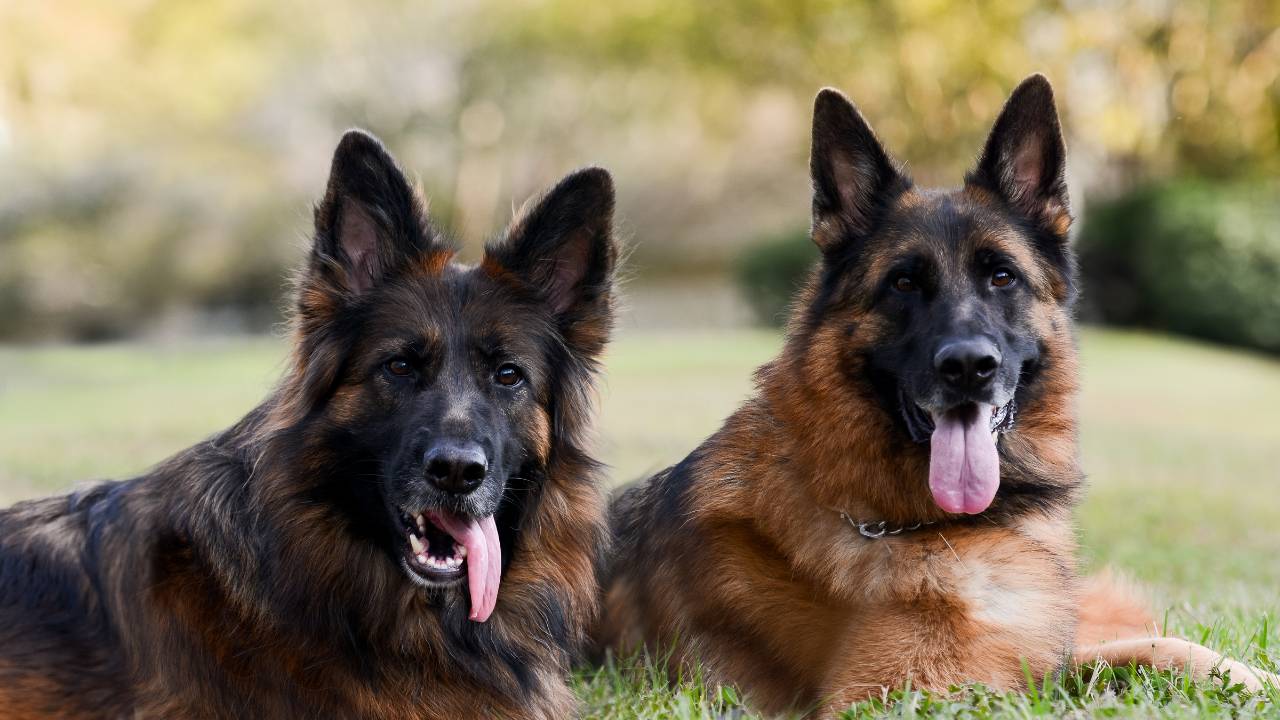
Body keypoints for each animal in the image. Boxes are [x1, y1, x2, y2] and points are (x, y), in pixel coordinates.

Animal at [593, 74, 1274, 712]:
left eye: (1002, 276)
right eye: (902, 283)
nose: (969, 367)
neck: (907, 522)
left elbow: (1158, 647)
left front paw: (1248, 676)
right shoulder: (902, 693)